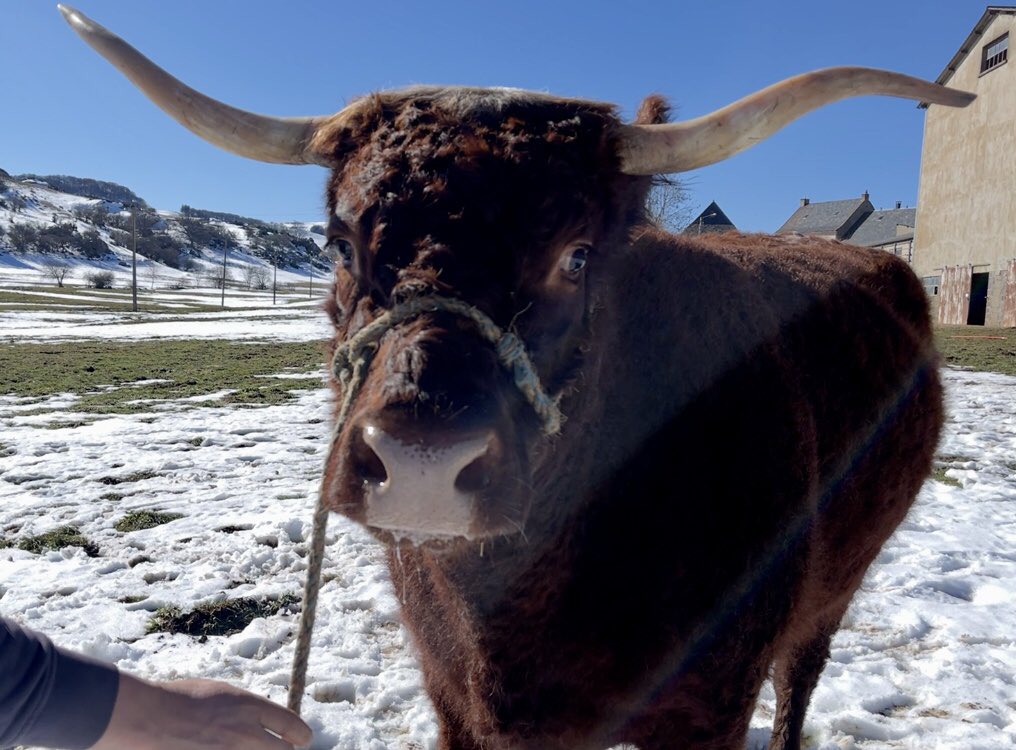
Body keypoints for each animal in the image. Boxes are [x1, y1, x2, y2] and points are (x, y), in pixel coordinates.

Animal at [60, 6, 973, 750]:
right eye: (338, 242)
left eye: (577, 255)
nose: (421, 467)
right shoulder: (458, 702)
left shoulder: (709, 706)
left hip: (835, 589)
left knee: (801, 678)